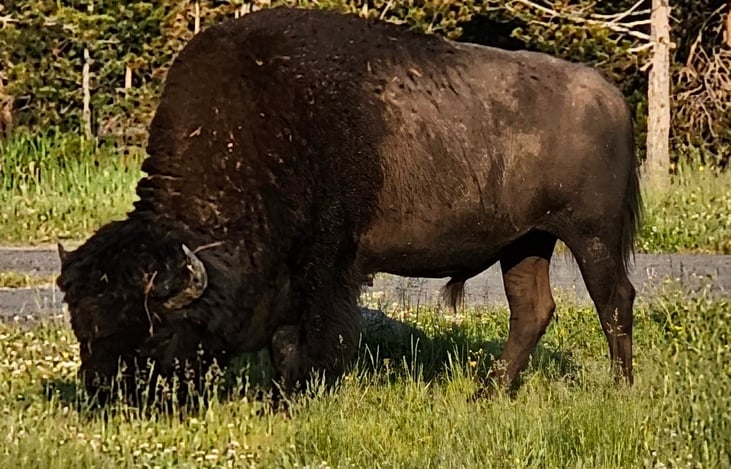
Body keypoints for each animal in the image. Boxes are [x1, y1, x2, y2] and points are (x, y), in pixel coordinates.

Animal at [57, 7, 642, 404]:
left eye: (153, 331)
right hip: (525, 243)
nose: (106, 396)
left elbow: (302, 340)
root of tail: (611, 97)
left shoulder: (325, 267)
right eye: (82, 325)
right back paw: (487, 392)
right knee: (532, 311)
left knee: (614, 301)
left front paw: (288, 398)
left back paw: (619, 389)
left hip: (591, 235)